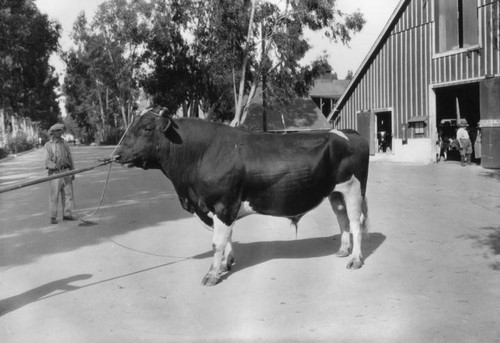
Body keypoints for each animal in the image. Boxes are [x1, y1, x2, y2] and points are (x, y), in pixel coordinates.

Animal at [114, 110, 372, 288]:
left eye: (147, 128)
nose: (116, 155)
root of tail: (349, 133)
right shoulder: (221, 208)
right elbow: (227, 236)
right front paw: (226, 263)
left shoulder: (223, 204)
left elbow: (217, 242)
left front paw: (212, 274)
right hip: (335, 192)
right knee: (342, 219)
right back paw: (343, 250)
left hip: (353, 188)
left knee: (356, 223)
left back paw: (356, 259)